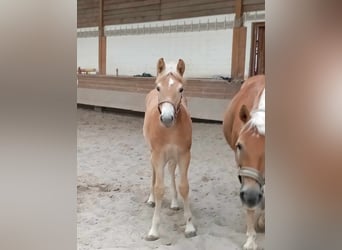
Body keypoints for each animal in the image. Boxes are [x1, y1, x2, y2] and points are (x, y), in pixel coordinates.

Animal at [142, 57, 195, 241]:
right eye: (159, 88)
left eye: (181, 89)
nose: (167, 118)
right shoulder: (158, 155)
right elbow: (159, 188)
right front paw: (153, 230)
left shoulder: (184, 155)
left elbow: (184, 187)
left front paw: (190, 227)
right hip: (153, 154)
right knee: (154, 174)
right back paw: (151, 199)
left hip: (173, 156)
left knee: (171, 171)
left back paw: (174, 202)